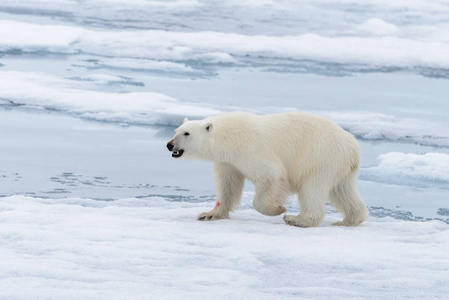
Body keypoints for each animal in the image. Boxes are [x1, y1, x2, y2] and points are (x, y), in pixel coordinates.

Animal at [166, 112, 366, 227]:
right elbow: (228, 185)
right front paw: (208, 214)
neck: (227, 137)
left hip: (319, 157)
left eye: (186, 133)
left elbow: (271, 174)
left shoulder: (250, 149)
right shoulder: (228, 161)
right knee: (344, 191)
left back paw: (296, 219)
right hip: (340, 166)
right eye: (176, 130)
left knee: (312, 187)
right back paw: (348, 220)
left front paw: (278, 209)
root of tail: (353, 147)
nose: (169, 145)